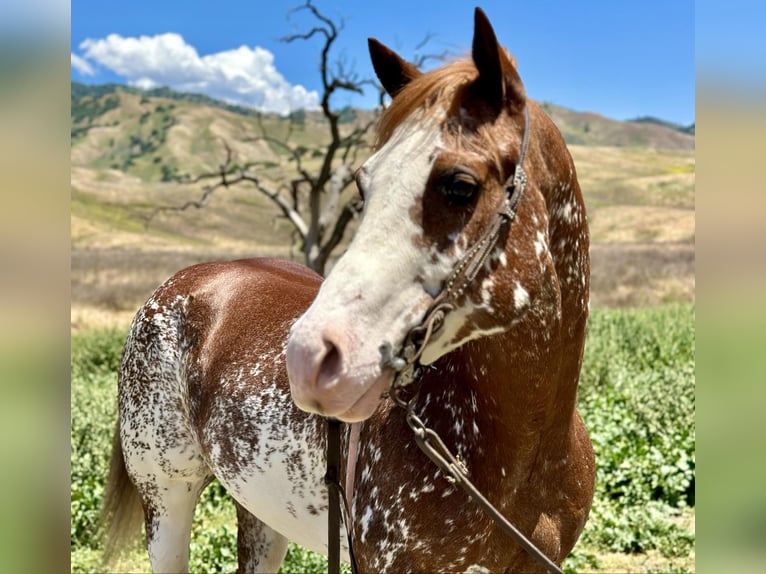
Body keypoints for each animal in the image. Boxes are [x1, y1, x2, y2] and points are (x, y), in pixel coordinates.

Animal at [100, 9, 592, 574]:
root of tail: (185, 281)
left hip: (261, 511)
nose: (310, 358)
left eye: (460, 185)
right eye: (362, 184)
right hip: (167, 499)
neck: (525, 449)